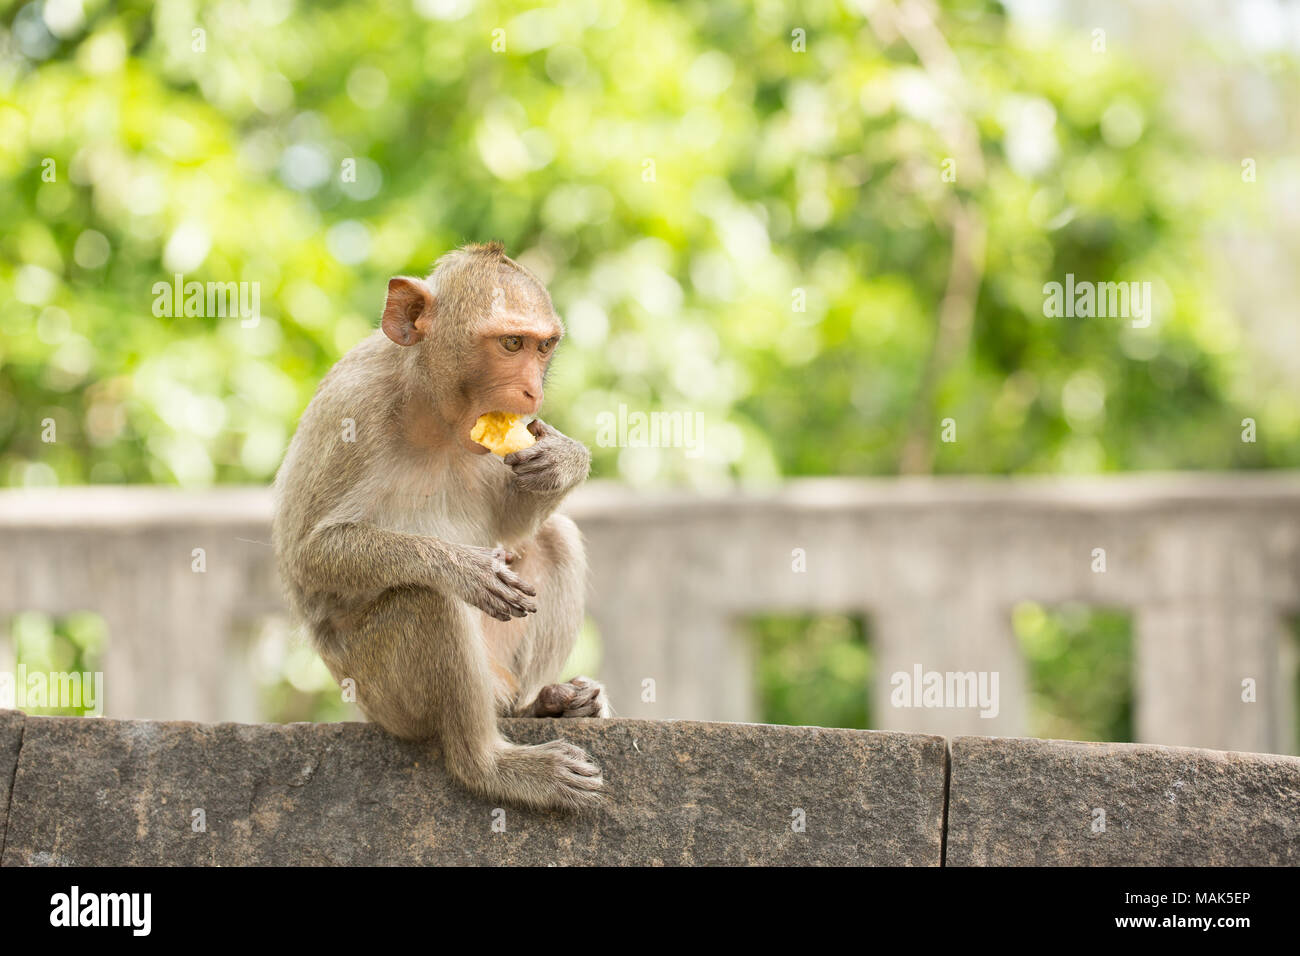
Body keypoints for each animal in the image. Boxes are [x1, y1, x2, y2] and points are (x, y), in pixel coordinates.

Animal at [270, 243, 613, 811]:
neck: (427, 410)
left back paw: (544, 704)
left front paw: (563, 459)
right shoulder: (351, 406)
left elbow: (513, 526)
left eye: (544, 347)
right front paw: (462, 567)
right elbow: (307, 556)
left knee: (553, 538)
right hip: (381, 695)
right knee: (428, 601)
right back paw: (491, 765)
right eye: (511, 343)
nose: (532, 392)